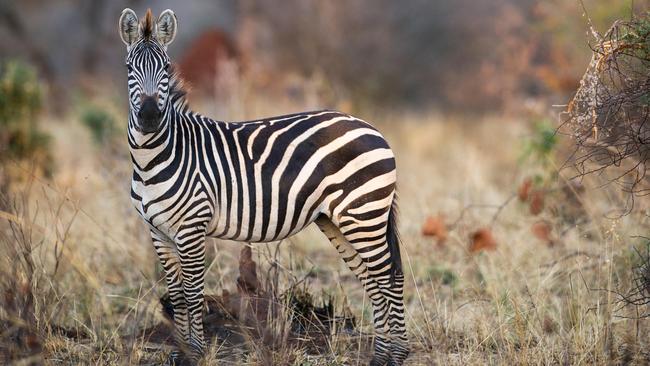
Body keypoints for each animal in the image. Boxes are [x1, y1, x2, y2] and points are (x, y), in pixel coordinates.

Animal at [119, 8, 408, 366]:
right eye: (129, 68)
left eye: (166, 67)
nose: (148, 117)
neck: (153, 160)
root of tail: (371, 127)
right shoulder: (158, 231)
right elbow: (177, 295)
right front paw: (180, 352)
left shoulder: (191, 227)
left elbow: (192, 291)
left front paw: (196, 353)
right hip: (338, 220)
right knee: (372, 279)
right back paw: (380, 357)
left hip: (363, 213)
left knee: (389, 277)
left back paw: (397, 355)